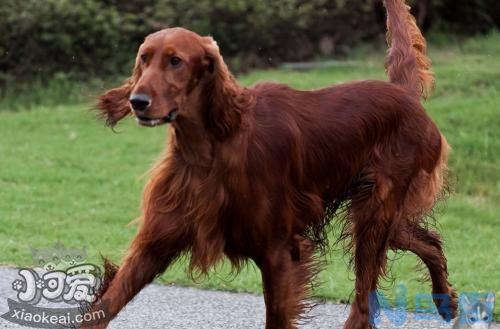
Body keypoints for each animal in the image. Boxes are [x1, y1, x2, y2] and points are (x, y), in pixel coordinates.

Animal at [87, 1, 458, 326]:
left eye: (175, 61)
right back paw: (446, 302)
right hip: (380, 214)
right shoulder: (155, 243)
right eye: (143, 59)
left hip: (374, 213)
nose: (137, 101)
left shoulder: (279, 251)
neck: (212, 146)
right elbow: (104, 306)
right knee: (426, 241)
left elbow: (277, 316)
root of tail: (404, 95)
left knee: (365, 301)